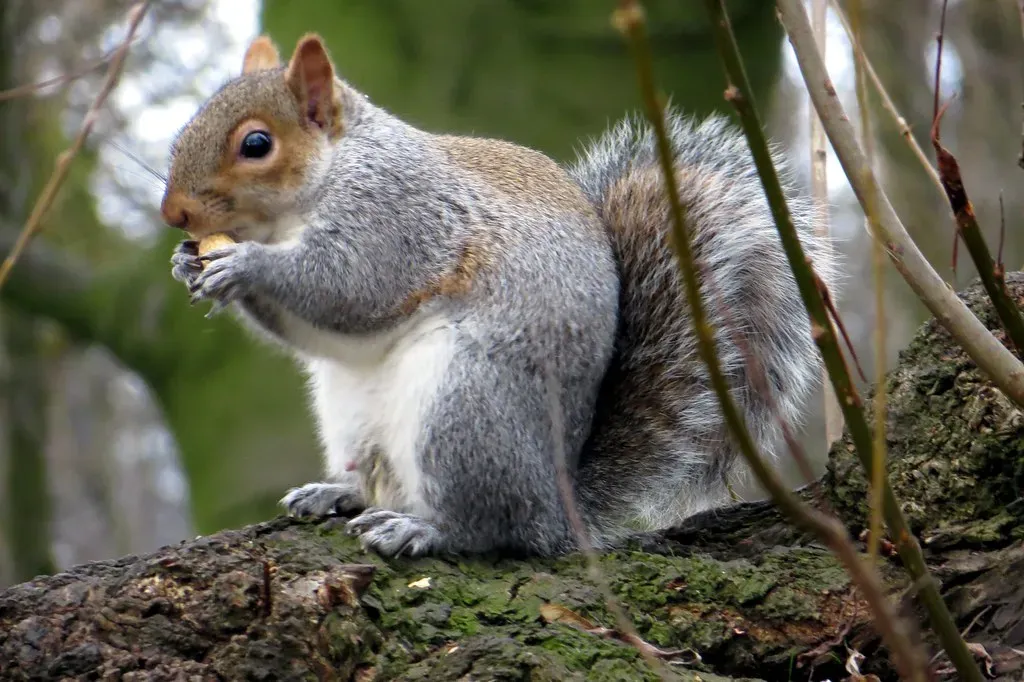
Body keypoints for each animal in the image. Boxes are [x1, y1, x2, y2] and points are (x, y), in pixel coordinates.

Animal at [163, 33, 839, 558]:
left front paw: (244, 265)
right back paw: (337, 492)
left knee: (490, 529)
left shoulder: (399, 215)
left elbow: (351, 285)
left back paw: (424, 530)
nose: (174, 215)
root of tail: (555, 508)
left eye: (256, 145)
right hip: (351, 417)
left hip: (465, 408)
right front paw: (186, 264)